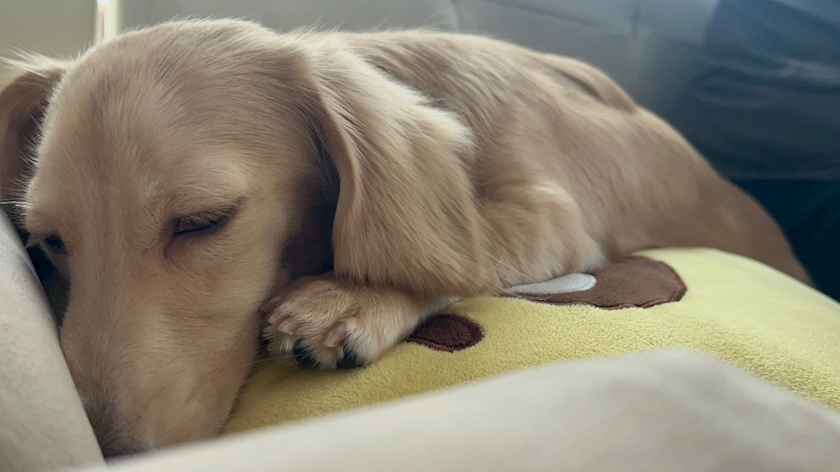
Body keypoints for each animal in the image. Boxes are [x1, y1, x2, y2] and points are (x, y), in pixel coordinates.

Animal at [0, 19, 809, 456]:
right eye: (48, 243)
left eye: (204, 221)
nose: (104, 453)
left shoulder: (551, 211)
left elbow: (466, 248)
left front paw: (352, 298)